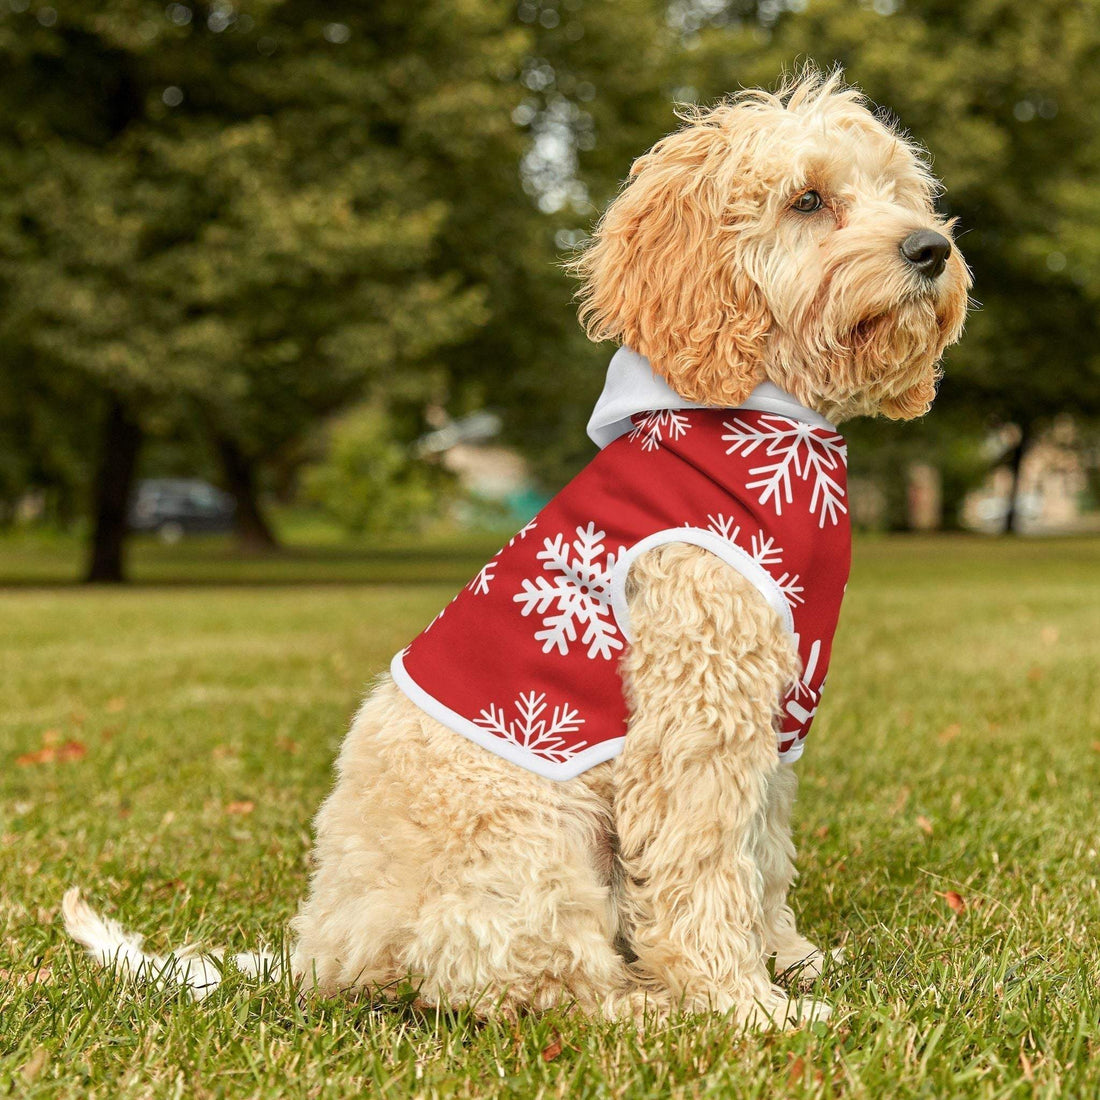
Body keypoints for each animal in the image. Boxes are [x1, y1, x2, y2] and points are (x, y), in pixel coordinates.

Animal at [64, 70, 968, 1029]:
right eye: (807, 200)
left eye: (900, 192)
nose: (931, 249)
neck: (771, 423)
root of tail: (323, 950)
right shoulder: (696, 714)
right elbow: (704, 867)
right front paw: (744, 1004)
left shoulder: (774, 716)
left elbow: (761, 856)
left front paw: (790, 961)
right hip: (535, 838)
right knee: (530, 984)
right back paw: (649, 1007)